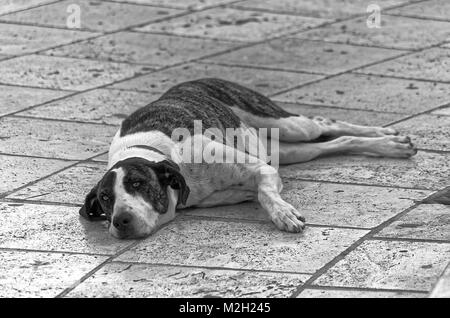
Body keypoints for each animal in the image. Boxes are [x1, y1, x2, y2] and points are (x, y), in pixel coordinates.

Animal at [79, 78, 416, 238]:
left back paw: (390, 140)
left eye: (138, 184)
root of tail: (193, 82)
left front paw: (283, 214)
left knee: (325, 123)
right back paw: (387, 144)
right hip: (289, 150)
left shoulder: (260, 170)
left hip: (287, 124)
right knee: (333, 143)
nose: (121, 221)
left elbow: (266, 194)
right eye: (106, 199)